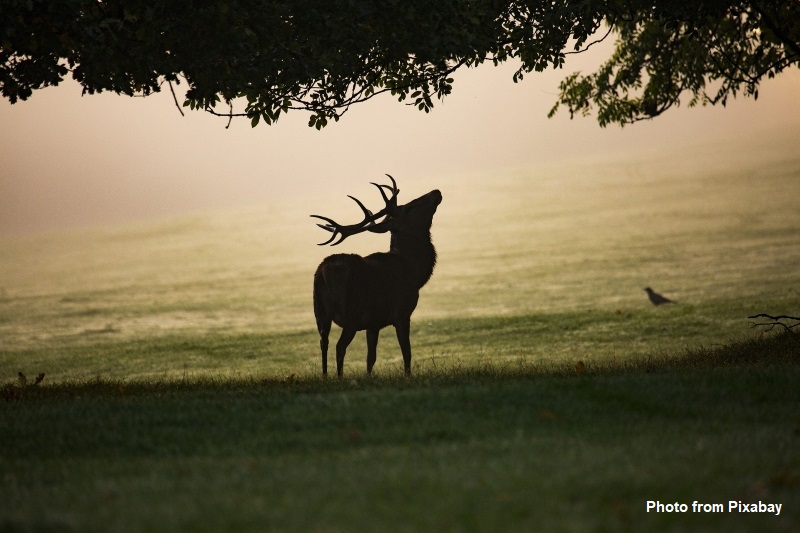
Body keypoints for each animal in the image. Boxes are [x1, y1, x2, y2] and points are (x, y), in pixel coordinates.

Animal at [312, 172, 440, 376]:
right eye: (410, 207)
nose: (436, 192)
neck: (414, 271)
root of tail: (325, 270)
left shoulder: (373, 323)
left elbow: (370, 358)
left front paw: (369, 377)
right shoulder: (402, 311)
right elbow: (407, 351)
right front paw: (408, 376)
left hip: (320, 311)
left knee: (323, 342)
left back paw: (325, 376)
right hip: (351, 312)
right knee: (339, 346)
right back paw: (339, 377)